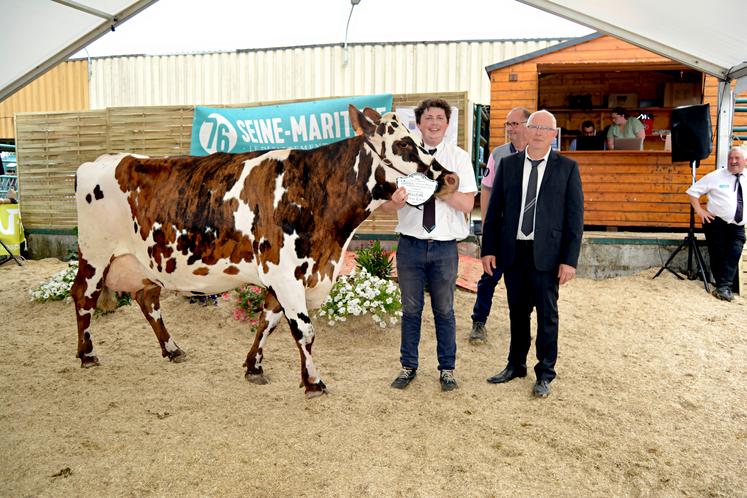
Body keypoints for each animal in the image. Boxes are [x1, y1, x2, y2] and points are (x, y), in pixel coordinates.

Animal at [73, 105, 458, 396]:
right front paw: (313, 382)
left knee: (147, 300)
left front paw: (253, 367)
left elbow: (267, 322)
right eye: (404, 144)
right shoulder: (284, 271)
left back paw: (172, 349)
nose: (452, 178)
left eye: (424, 142)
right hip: (95, 253)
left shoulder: (285, 275)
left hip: (146, 262)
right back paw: (87, 355)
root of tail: (100, 161)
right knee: (83, 296)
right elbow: (304, 330)